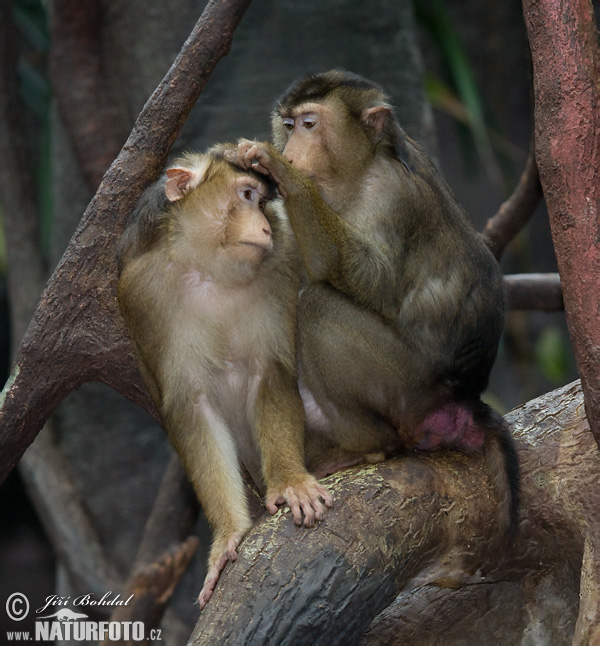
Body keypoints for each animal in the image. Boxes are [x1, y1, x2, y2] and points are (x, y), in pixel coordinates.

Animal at [117, 146, 332, 608]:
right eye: (246, 195)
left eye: (263, 202)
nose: (266, 227)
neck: (210, 270)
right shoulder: (142, 294)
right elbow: (191, 404)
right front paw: (229, 533)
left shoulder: (279, 265)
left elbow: (270, 373)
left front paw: (291, 482)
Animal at [225, 69, 520, 536]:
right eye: (288, 124)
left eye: (310, 124)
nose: (292, 150)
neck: (360, 166)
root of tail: (463, 397)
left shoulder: (390, 193)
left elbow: (371, 280)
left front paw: (286, 176)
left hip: (409, 387)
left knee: (319, 308)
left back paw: (367, 444)